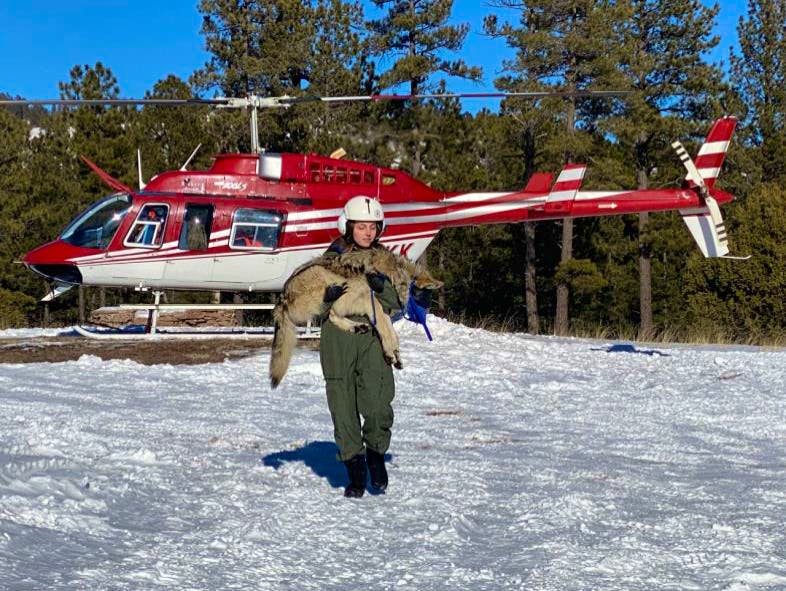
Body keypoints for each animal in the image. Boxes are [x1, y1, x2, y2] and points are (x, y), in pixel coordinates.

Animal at [269, 248, 443, 389]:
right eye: (425, 296)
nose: (427, 310)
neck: (396, 275)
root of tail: (282, 298)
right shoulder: (375, 306)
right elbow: (387, 333)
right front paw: (390, 354)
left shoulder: (383, 311)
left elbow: (394, 336)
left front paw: (396, 356)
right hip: (324, 281)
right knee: (331, 313)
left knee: (333, 315)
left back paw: (357, 327)